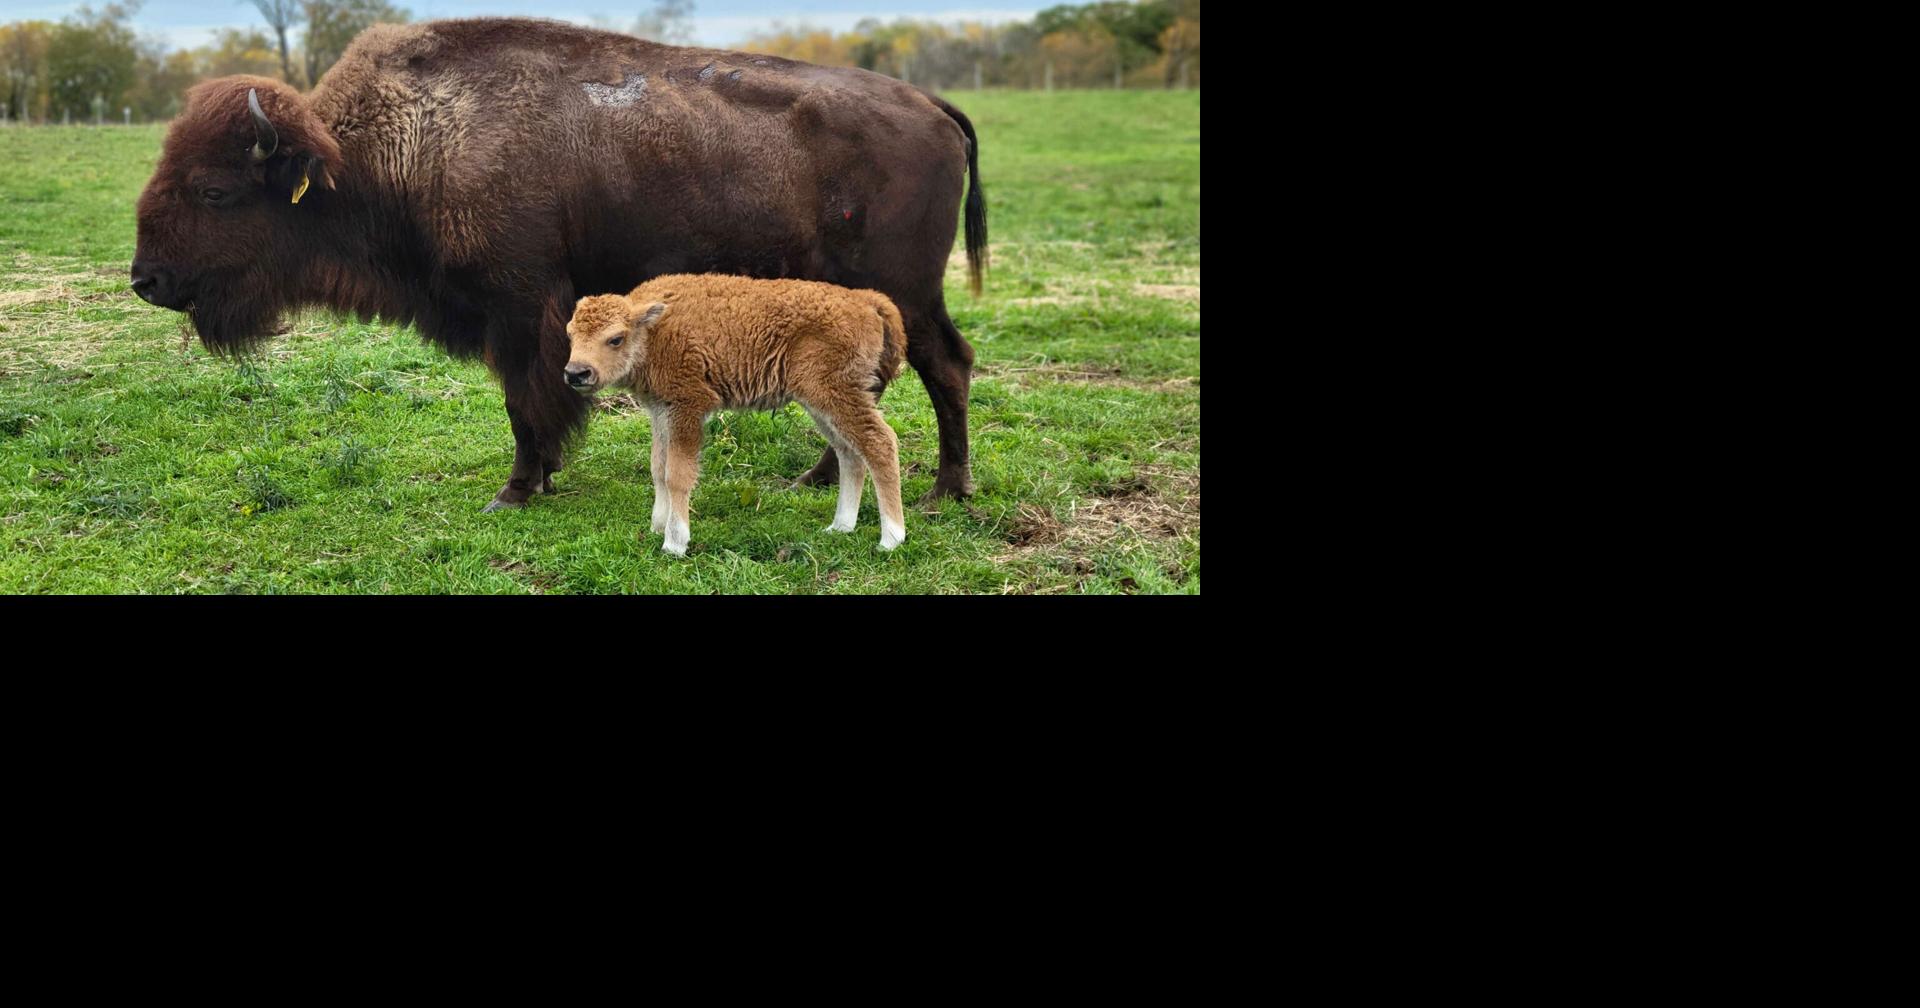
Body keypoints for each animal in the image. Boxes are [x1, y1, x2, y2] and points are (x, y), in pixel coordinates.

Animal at [131, 17, 985, 510]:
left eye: (213, 190)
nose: (147, 279)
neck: (406, 142)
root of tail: (931, 105)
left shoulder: (519, 309)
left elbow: (525, 402)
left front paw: (516, 490)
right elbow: (530, 401)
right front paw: (536, 479)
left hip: (904, 289)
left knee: (944, 366)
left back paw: (946, 490)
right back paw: (820, 479)